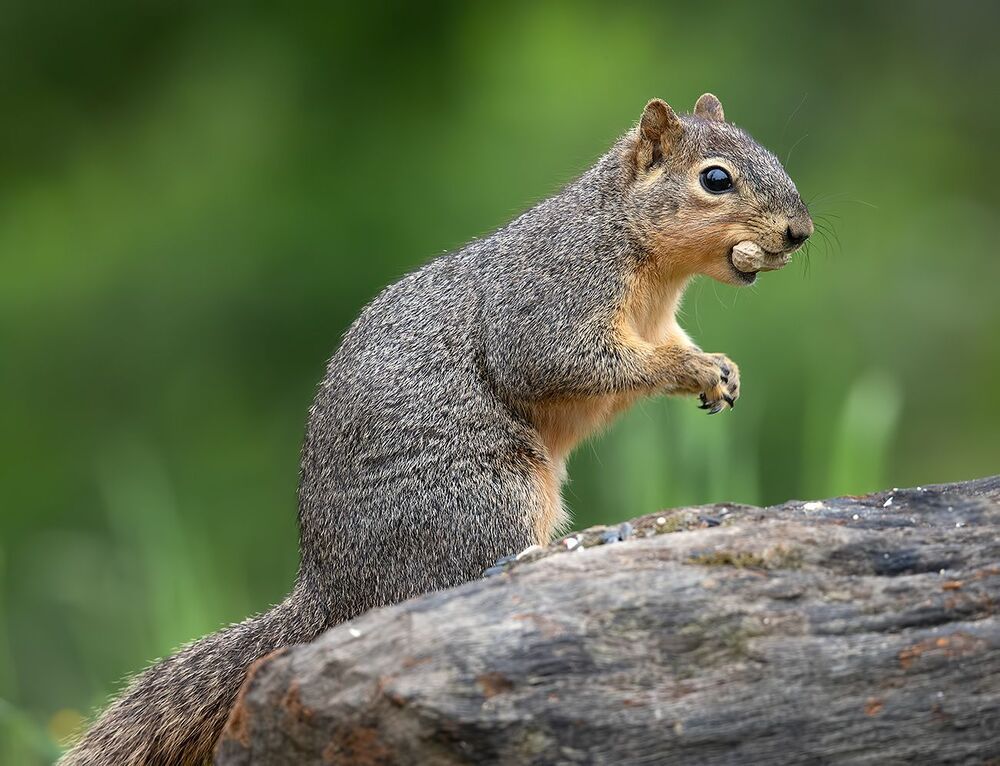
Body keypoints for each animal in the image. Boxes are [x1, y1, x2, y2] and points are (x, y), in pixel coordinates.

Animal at [60, 93, 812, 765]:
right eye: (715, 179)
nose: (798, 233)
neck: (637, 249)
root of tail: (335, 594)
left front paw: (720, 373)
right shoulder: (550, 299)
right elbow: (564, 359)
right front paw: (694, 368)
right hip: (486, 498)